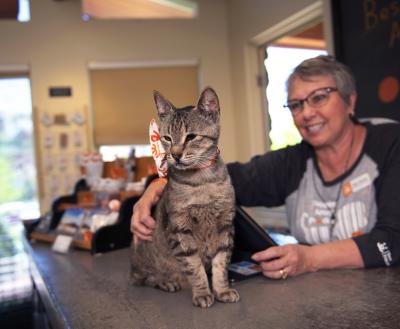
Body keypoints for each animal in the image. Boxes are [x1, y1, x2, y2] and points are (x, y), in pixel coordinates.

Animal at [130, 87, 239, 308]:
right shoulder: (180, 230)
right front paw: (202, 292)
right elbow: (194, 267)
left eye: (191, 137)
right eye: (167, 138)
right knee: (146, 277)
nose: (175, 154)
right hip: (143, 256)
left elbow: (221, 263)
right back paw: (166, 281)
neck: (202, 182)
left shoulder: (225, 226)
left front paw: (222, 289)